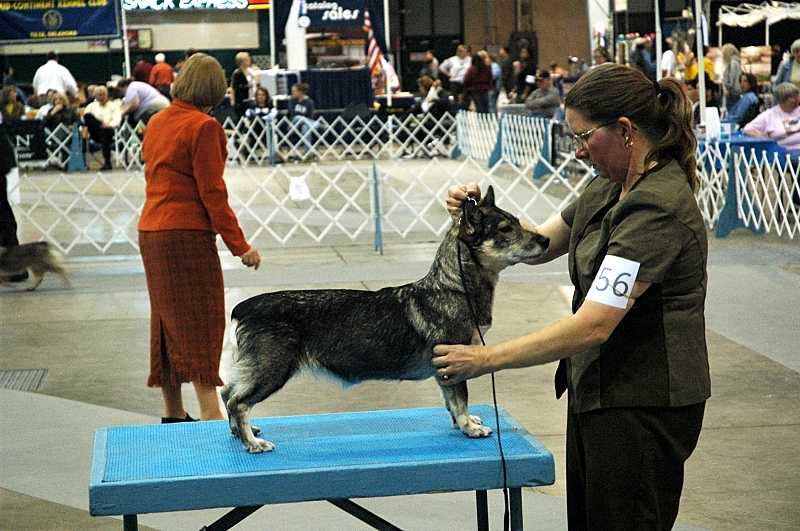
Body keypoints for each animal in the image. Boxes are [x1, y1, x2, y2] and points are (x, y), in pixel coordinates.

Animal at [225, 187, 552, 454]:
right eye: (506, 228)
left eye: (517, 221)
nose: (546, 239)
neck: (454, 286)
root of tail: (244, 307)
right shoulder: (452, 363)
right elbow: (460, 399)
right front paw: (470, 428)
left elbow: (451, 402)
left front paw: (464, 422)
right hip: (272, 370)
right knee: (237, 402)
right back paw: (253, 443)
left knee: (228, 392)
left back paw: (242, 434)